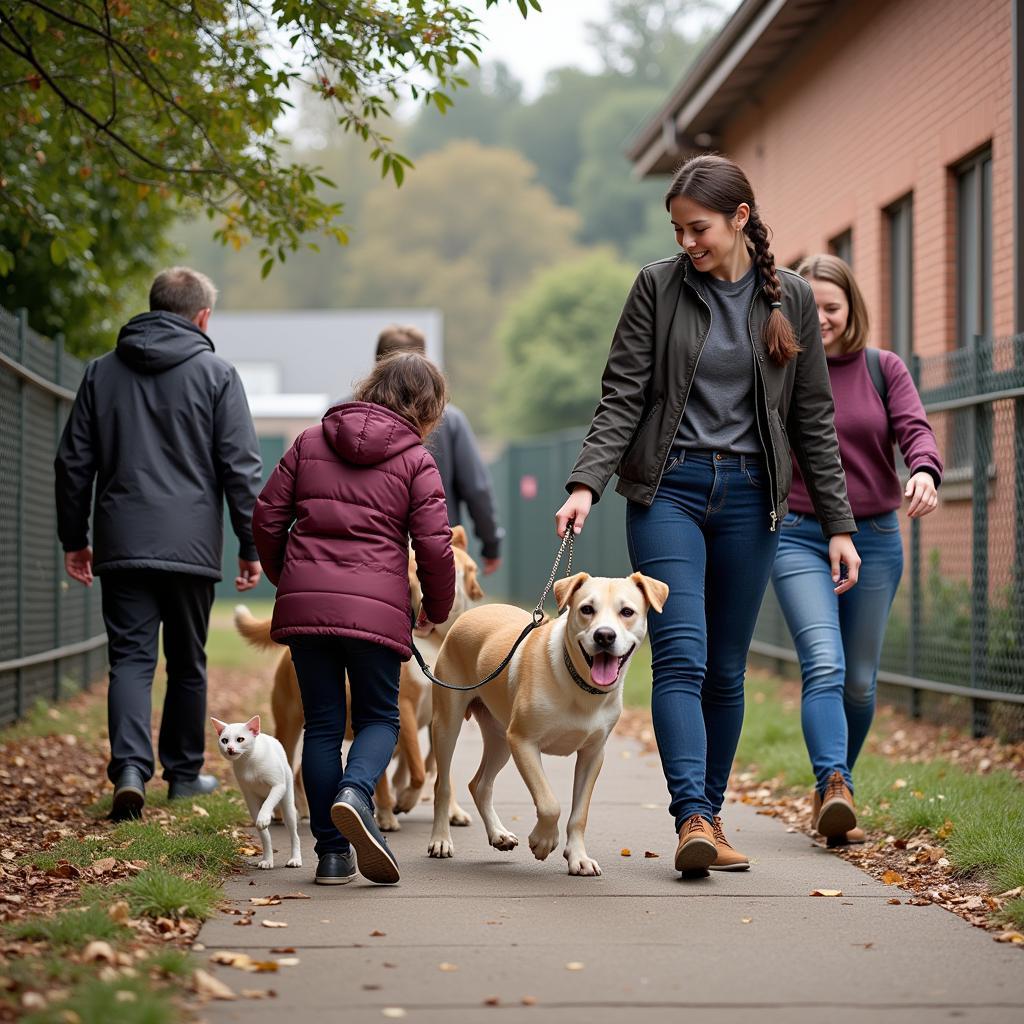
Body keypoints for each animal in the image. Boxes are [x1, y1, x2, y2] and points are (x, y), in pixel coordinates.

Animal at [210, 716, 299, 868]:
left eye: (240, 739)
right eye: (224, 740)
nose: (229, 748)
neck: (248, 761)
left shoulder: (278, 786)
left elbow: (268, 803)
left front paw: (264, 818)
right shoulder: (250, 797)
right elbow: (265, 836)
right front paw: (267, 860)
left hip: (288, 806)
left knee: (294, 835)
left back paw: (295, 859)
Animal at [428, 573, 667, 876]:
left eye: (627, 612)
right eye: (586, 609)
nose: (604, 635)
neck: (580, 686)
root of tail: (472, 613)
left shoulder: (592, 754)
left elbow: (579, 814)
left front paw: (578, 857)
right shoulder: (523, 741)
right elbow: (549, 802)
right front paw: (543, 841)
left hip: (500, 739)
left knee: (479, 785)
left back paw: (498, 834)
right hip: (448, 724)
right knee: (442, 785)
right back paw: (440, 840)